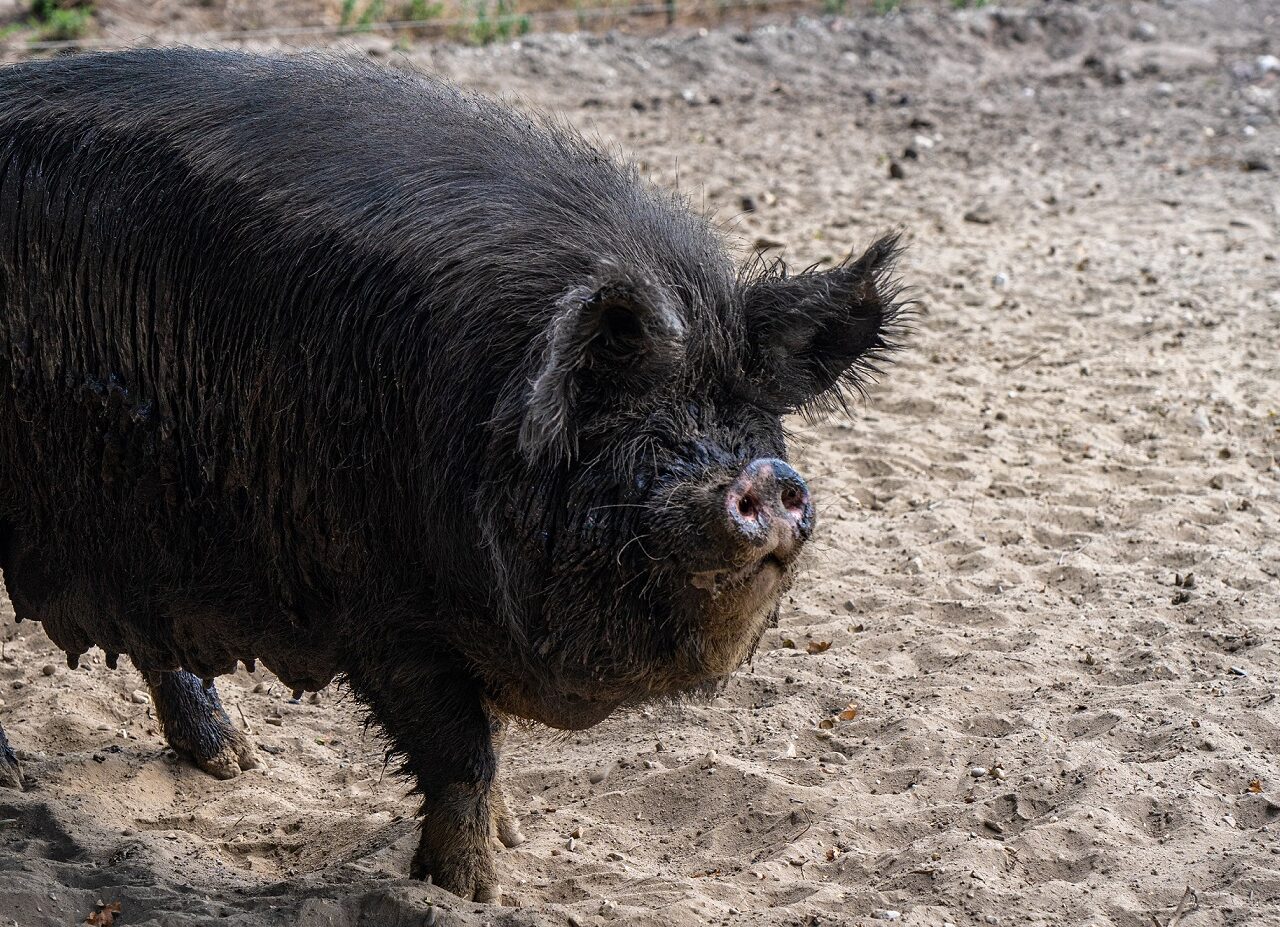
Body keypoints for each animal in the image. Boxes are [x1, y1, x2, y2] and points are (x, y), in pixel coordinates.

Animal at [0, 48, 906, 896]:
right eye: (637, 425)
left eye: (748, 415)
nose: (767, 476)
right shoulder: (383, 604)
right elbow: (458, 746)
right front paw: (471, 886)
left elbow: (489, 740)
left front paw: (511, 839)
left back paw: (235, 761)